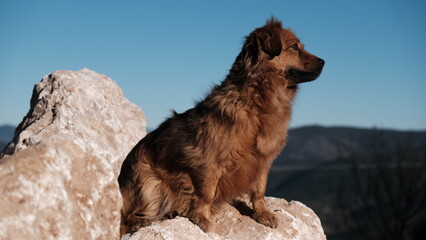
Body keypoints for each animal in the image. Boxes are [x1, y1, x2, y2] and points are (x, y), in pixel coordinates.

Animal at [118, 18, 324, 234]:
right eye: (294, 47)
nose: (323, 62)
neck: (256, 102)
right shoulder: (208, 160)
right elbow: (206, 193)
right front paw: (200, 216)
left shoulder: (262, 159)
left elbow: (259, 190)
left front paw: (262, 213)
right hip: (147, 179)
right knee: (126, 217)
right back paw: (141, 221)